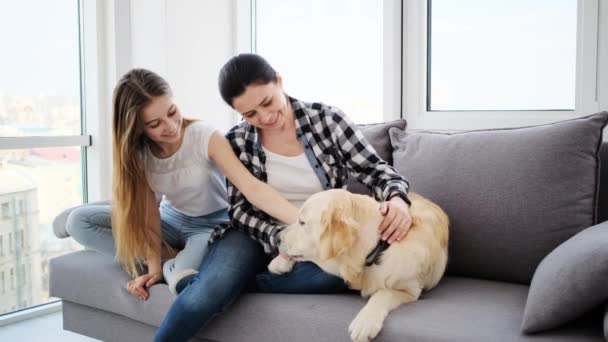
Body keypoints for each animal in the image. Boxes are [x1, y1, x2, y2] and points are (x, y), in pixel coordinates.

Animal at [268, 190, 448, 342]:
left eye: (302, 222)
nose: (276, 237)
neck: (379, 246)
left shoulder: (410, 290)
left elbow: (383, 293)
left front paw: (365, 322)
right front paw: (280, 260)